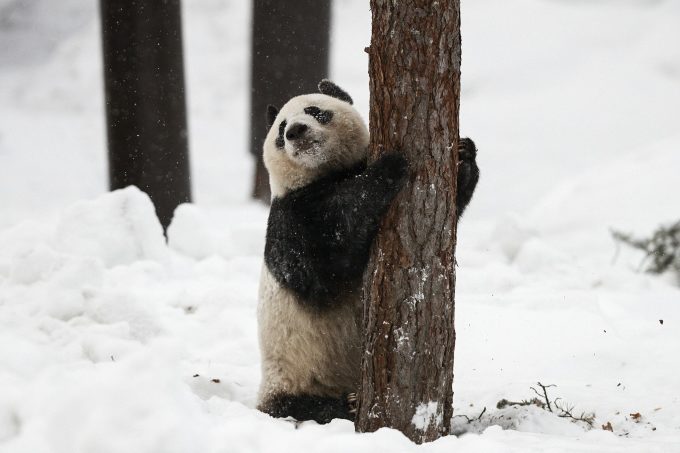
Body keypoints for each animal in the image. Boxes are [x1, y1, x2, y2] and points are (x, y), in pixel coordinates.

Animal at [255, 79, 478, 422]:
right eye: (281, 129)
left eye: (314, 111)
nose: (295, 131)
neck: (327, 173)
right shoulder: (291, 218)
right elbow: (328, 257)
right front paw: (389, 166)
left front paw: (464, 153)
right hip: (294, 374)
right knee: (306, 405)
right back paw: (347, 403)